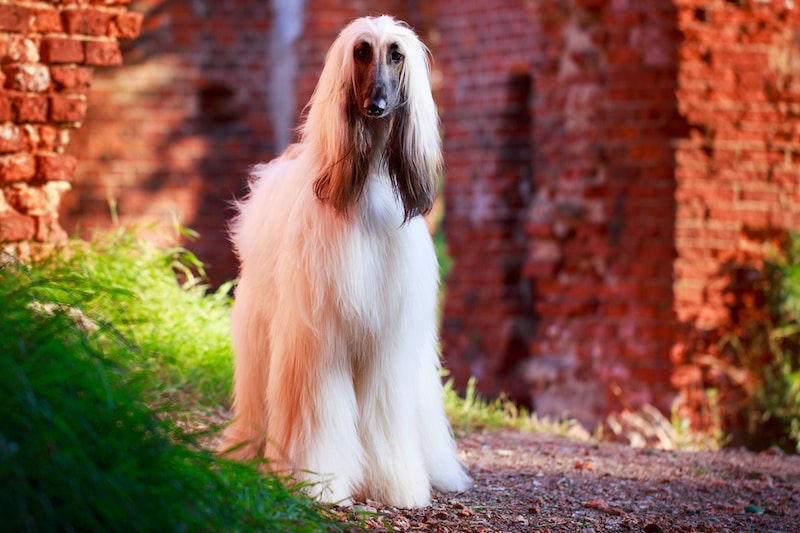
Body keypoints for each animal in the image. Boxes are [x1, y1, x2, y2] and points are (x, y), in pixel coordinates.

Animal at [219, 15, 468, 508]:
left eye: (396, 54)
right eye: (361, 52)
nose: (377, 105)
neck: (366, 183)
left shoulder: (387, 340)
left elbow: (384, 414)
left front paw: (396, 484)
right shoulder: (319, 337)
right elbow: (320, 411)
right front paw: (318, 479)